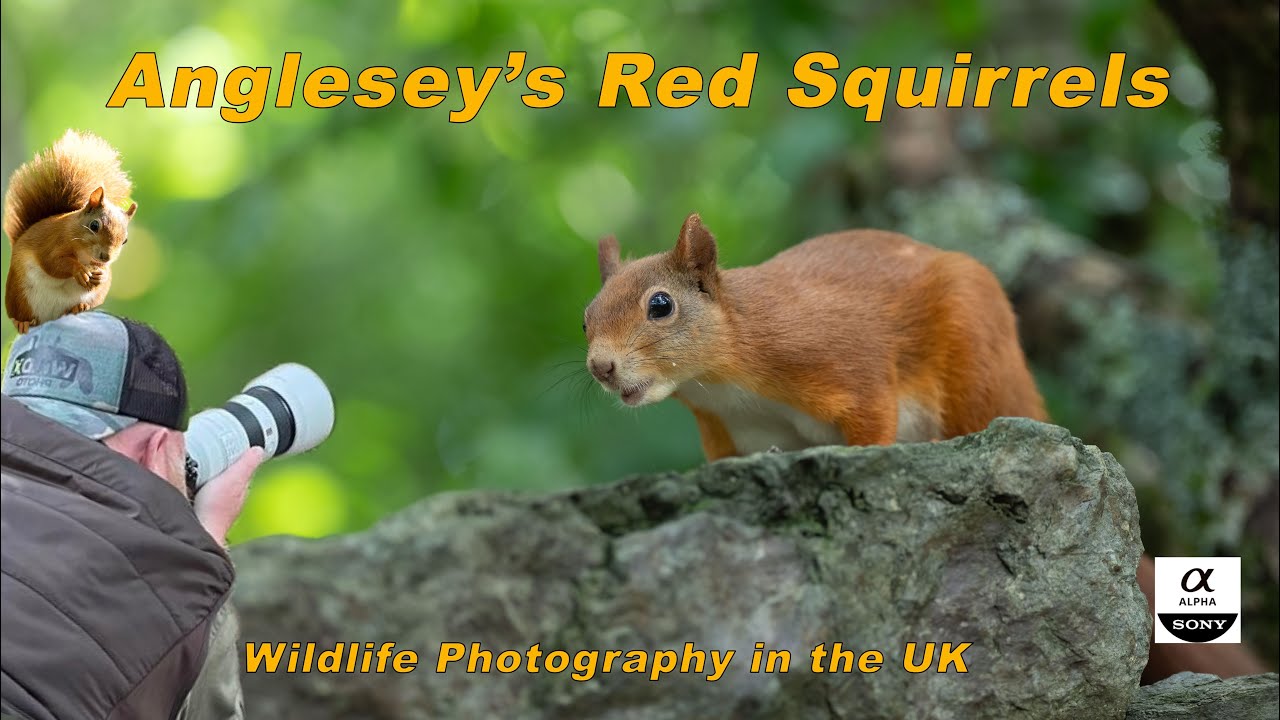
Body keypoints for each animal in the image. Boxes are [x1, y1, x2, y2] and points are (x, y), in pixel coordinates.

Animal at [4, 129, 138, 334]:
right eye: (94, 226)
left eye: (125, 240)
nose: (105, 257)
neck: (83, 253)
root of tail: (48, 319)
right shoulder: (53, 241)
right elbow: (53, 262)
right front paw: (79, 271)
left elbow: (103, 275)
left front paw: (102, 274)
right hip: (19, 294)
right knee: (19, 316)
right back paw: (22, 323)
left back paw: (80, 307)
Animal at [583, 212, 1047, 459]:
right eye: (585, 319)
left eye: (661, 305)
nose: (601, 367)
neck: (722, 385)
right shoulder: (727, 433)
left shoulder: (844, 360)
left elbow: (873, 417)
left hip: (975, 366)